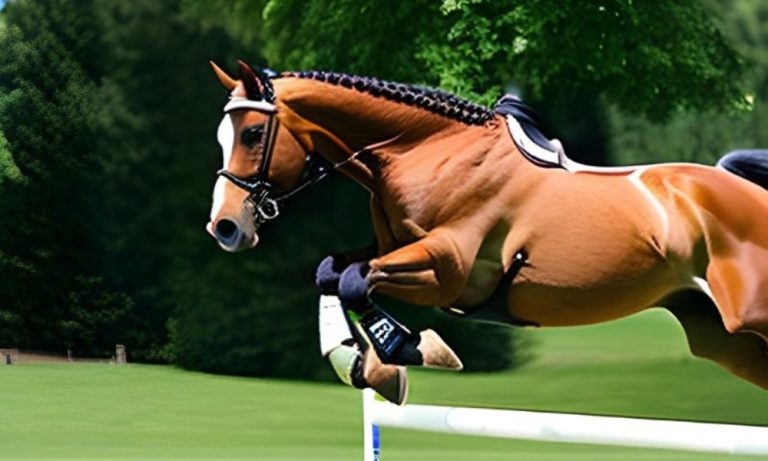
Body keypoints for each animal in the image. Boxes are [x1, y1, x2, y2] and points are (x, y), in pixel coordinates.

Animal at [206, 61, 768, 405]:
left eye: (253, 133)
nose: (226, 227)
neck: (426, 152)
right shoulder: (391, 250)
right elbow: (330, 272)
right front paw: (360, 363)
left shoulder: (446, 269)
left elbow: (355, 282)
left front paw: (409, 353)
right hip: (722, 338)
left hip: (750, 317)